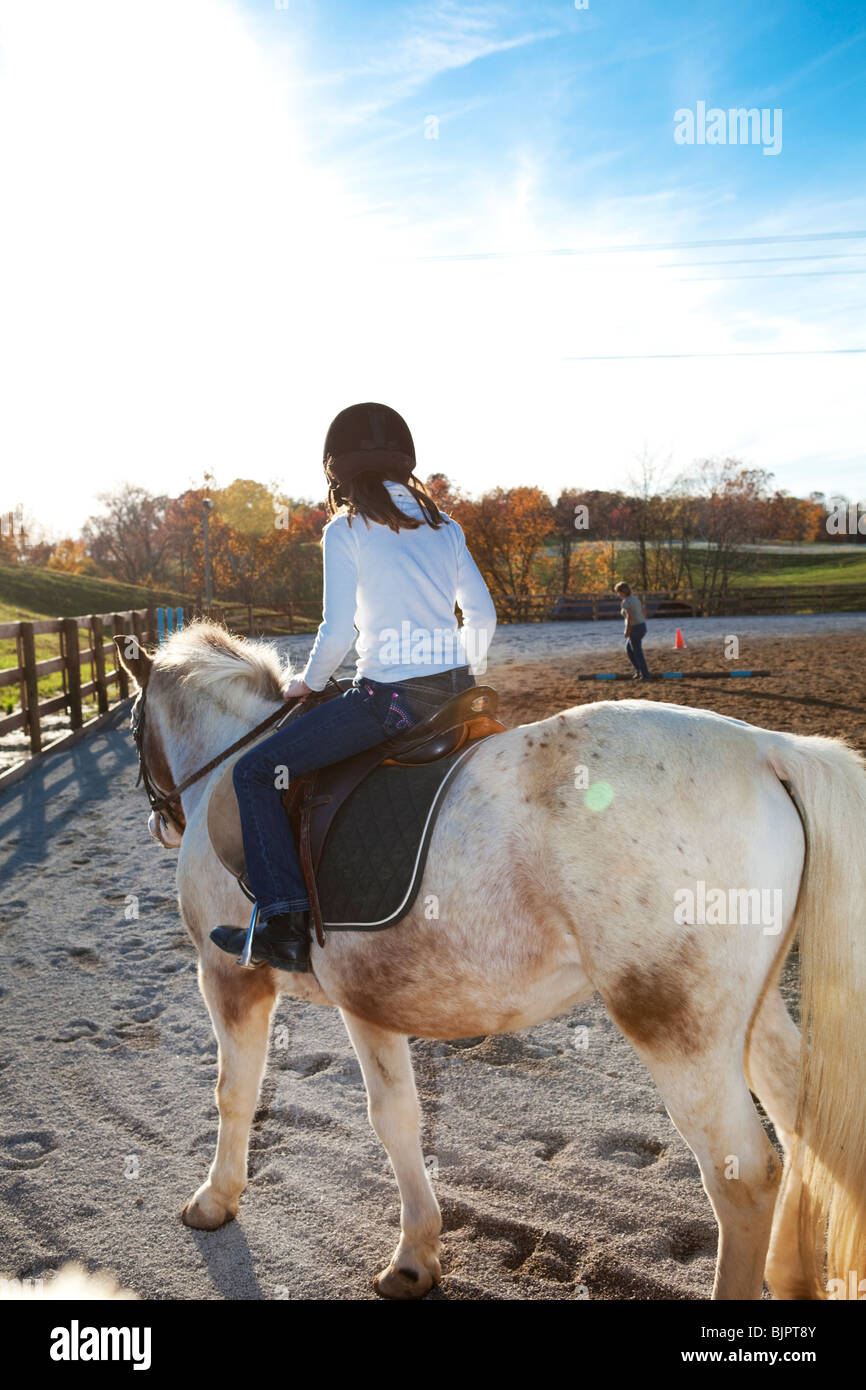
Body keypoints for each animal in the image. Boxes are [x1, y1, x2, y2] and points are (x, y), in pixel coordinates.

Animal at [116, 625, 866, 1295]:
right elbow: (396, 1117)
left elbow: (234, 1092)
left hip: (680, 1028)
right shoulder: (368, 999)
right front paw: (414, 1255)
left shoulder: (229, 978)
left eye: (132, 726)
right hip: (750, 1010)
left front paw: (215, 1200)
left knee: (745, 1177)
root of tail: (764, 748)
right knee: (810, 1127)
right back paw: (794, 1277)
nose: (158, 821)